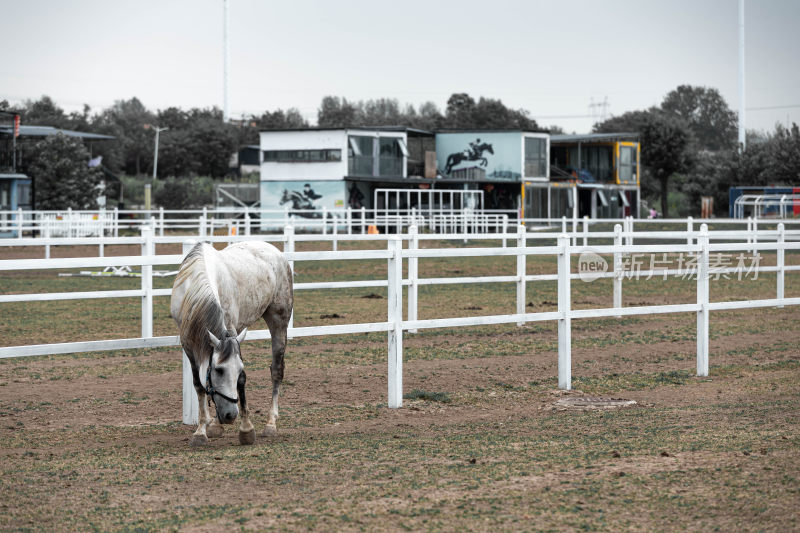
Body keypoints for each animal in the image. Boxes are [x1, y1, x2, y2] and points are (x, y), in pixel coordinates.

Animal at [171, 241, 294, 444]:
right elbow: (198, 385)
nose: (230, 415)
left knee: (277, 370)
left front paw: (246, 429)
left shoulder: (232, 331)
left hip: (278, 320)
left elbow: (241, 381)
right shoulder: (188, 343)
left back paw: (270, 423)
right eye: (219, 370)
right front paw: (202, 431)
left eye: (238, 369)